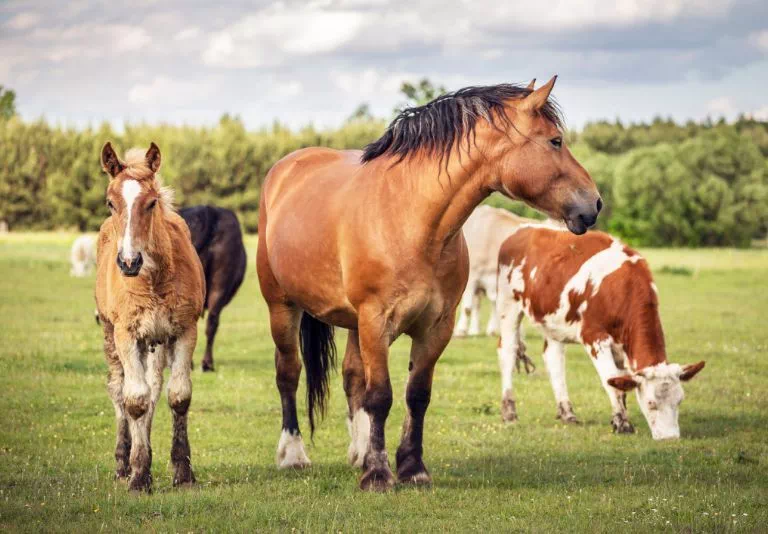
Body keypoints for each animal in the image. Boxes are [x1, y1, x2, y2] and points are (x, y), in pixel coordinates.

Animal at [94, 142, 206, 494]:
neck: (153, 277)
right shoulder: (126, 333)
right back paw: (123, 462)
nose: (129, 262)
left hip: (157, 341)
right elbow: (134, 400)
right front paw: (139, 475)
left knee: (154, 388)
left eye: (152, 202)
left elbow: (178, 396)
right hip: (111, 335)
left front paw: (183, 471)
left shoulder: (184, 329)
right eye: (110, 202)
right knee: (119, 389)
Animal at [260, 77, 604, 492]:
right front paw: (379, 475)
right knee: (289, 373)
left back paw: (359, 452)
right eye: (555, 141)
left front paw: (410, 467)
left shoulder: (436, 327)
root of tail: (287, 168)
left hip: (353, 323)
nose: (594, 204)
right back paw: (293, 454)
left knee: (351, 377)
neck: (412, 220)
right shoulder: (376, 321)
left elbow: (416, 394)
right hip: (283, 307)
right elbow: (381, 395)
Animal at [496, 228, 704, 442]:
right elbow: (612, 382)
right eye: (651, 403)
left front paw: (618, 418)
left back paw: (567, 413)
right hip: (508, 304)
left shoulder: (622, 347)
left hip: (552, 320)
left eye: (680, 400)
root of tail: (525, 229)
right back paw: (509, 412)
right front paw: (622, 424)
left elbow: (620, 384)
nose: (670, 438)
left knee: (553, 358)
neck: (624, 287)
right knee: (508, 352)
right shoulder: (594, 337)